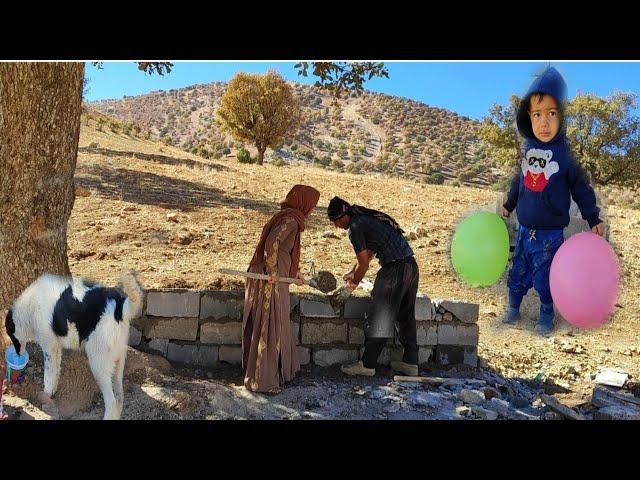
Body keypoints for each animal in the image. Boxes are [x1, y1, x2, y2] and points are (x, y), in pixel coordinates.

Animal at [4, 272, 144, 418]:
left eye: (10, 335)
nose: (18, 354)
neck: (29, 307)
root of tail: (119, 307)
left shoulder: (49, 347)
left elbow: (48, 374)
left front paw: (47, 393)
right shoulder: (56, 348)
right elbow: (55, 371)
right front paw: (53, 390)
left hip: (98, 365)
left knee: (111, 402)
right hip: (118, 362)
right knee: (119, 398)